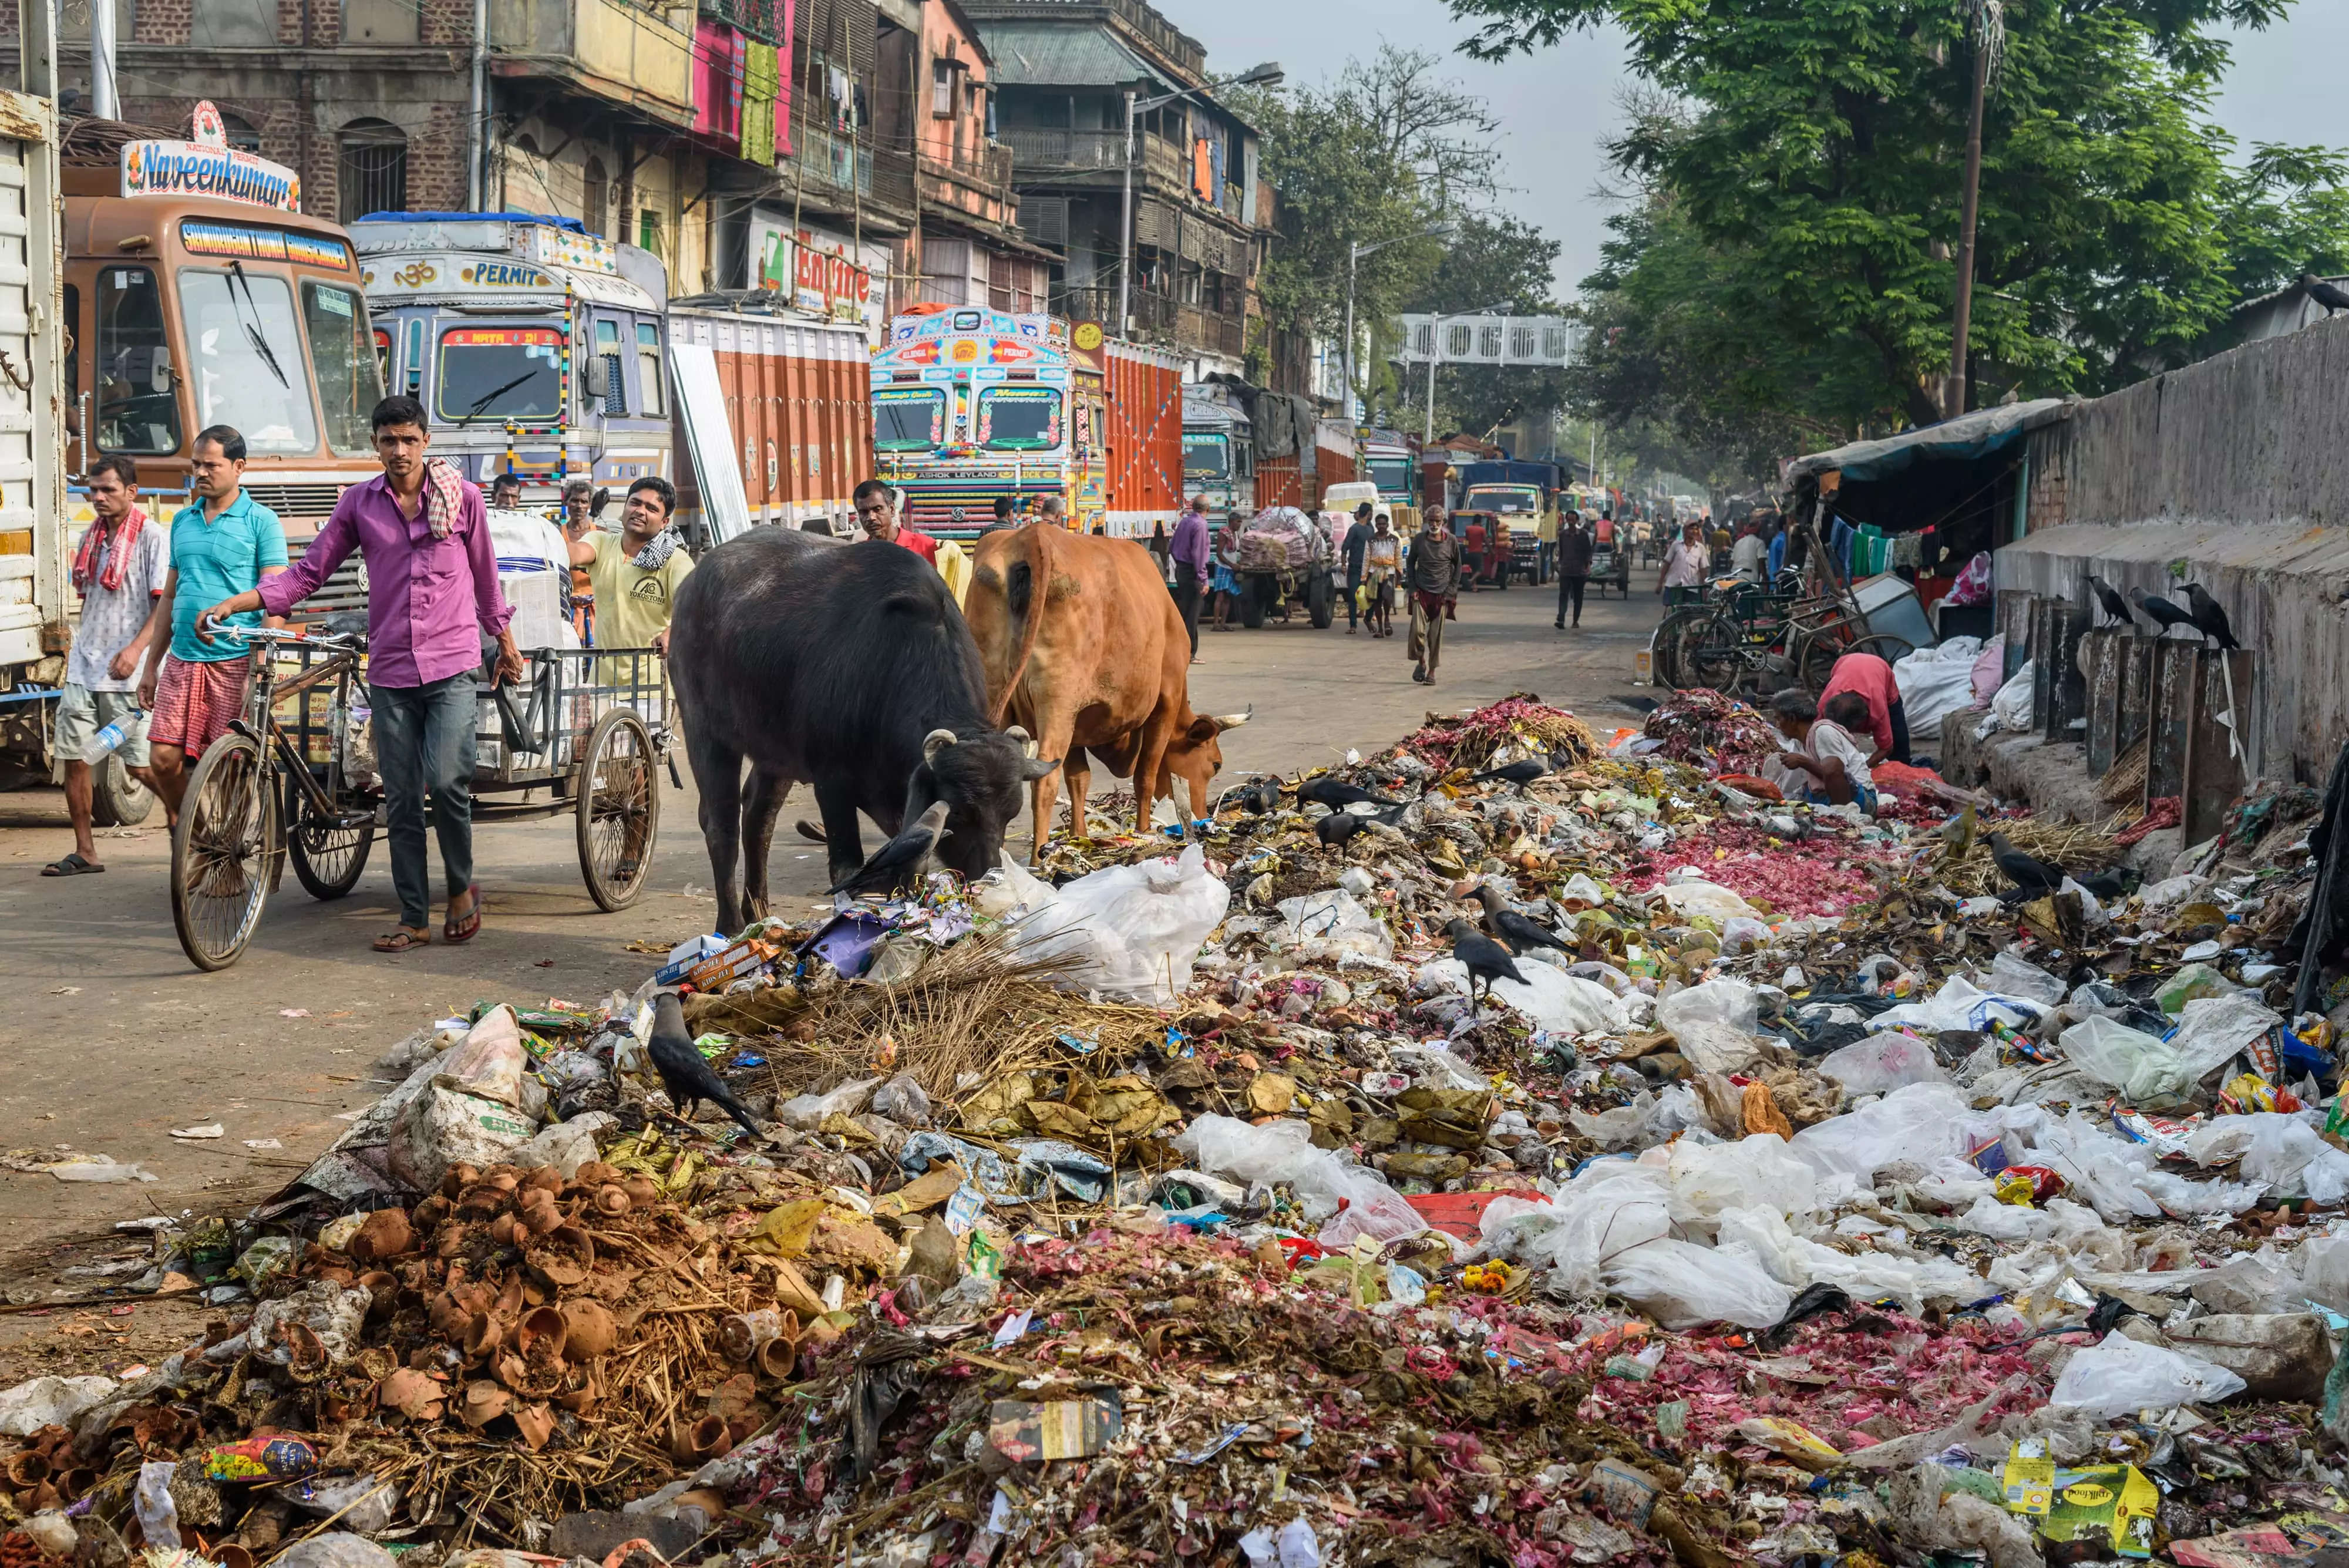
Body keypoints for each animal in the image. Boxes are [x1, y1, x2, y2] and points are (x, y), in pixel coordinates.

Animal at [667, 533, 1062, 938]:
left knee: (759, 820)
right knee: (722, 825)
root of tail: (692, 586)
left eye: (1010, 814)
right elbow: (847, 865)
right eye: (960, 812)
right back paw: (731, 925)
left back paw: (758, 913)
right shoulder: (831, 783)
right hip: (705, 733)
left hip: (774, 755)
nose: (988, 876)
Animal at [963, 526, 1250, 849]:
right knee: (1045, 781)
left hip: (994, 691)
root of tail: (1034, 535)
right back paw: (1039, 855)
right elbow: (1146, 774)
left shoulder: (1077, 720)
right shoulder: (1166, 701)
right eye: (1215, 765)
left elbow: (1079, 778)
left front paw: (1080, 836)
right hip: (1057, 701)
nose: (1203, 820)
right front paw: (1144, 831)